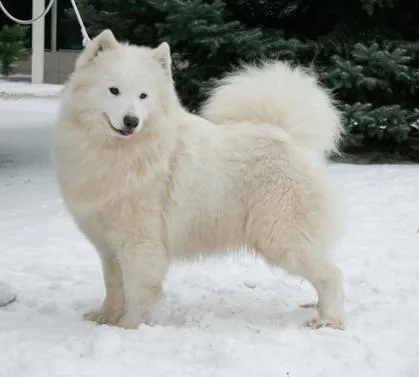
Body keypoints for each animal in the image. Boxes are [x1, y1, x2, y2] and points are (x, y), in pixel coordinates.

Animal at [53, 29, 348, 328]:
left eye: (143, 95)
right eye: (114, 90)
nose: (131, 121)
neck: (119, 151)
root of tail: (289, 138)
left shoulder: (140, 241)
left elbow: (136, 289)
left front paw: (129, 326)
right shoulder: (107, 245)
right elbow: (113, 285)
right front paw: (105, 317)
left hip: (283, 237)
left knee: (331, 274)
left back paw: (328, 320)